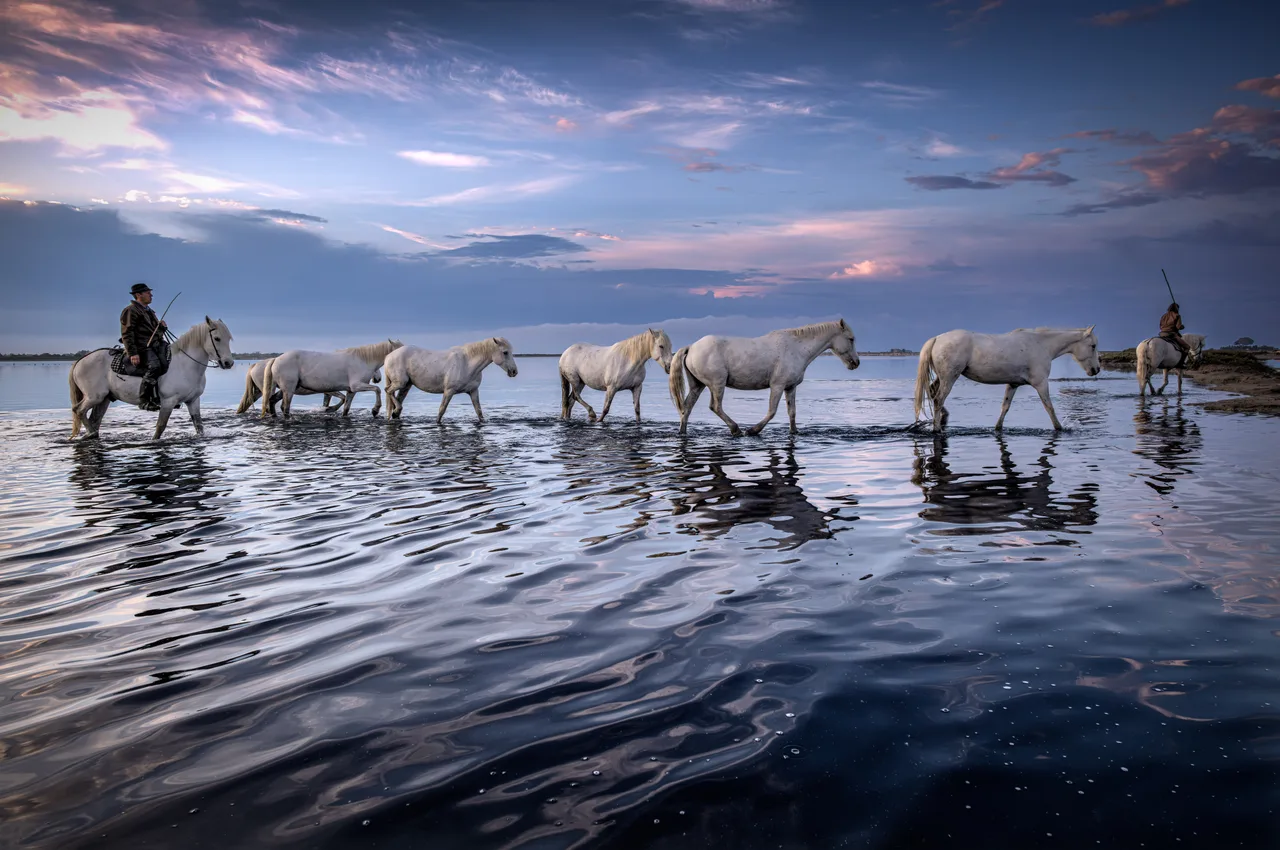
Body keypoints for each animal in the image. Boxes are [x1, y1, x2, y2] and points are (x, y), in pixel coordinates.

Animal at [69, 316, 235, 440]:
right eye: (217, 338)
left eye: (228, 339)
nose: (229, 363)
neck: (186, 365)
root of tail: (80, 360)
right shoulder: (168, 402)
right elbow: (160, 428)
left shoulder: (193, 400)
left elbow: (199, 426)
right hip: (94, 397)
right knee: (78, 410)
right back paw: (91, 433)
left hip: (104, 399)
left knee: (94, 419)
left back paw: (92, 434)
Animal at [262, 340, 402, 419]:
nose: (378, 378)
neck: (362, 360)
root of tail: (276, 359)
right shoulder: (357, 385)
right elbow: (377, 389)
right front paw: (375, 410)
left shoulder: (351, 390)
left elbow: (346, 408)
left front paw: (333, 410)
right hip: (289, 390)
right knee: (285, 407)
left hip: (286, 389)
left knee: (272, 400)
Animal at [383, 337, 518, 423]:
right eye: (505, 352)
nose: (514, 372)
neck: (467, 363)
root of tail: (389, 356)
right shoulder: (449, 391)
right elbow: (441, 410)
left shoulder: (473, 391)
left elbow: (479, 412)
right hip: (400, 383)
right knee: (388, 391)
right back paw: (396, 411)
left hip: (406, 385)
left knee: (396, 396)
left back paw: (395, 413)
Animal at [668, 319, 859, 436]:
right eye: (851, 339)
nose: (855, 363)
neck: (796, 348)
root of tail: (691, 347)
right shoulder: (777, 385)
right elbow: (772, 411)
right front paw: (753, 430)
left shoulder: (790, 387)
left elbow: (792, 412)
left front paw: (794, 433)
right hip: (717, 384)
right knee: (715, 406)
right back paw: (736, 429)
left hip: (697, 385)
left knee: (686, 408)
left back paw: (682, 432)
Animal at [912, 326, 1100, 432]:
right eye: (1093, 346)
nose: (1096, 370)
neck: (1041, 345)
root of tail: (937, 338)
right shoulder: (1041, 383)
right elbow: (1049, 407)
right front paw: (1060, 428)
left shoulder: (1013, 384)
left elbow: (1005, 407)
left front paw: (998, 428)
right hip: (950, 377)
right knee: (938, 399)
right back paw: (937, 429)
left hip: (943, 377)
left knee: (933, 392)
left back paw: (943, 418)